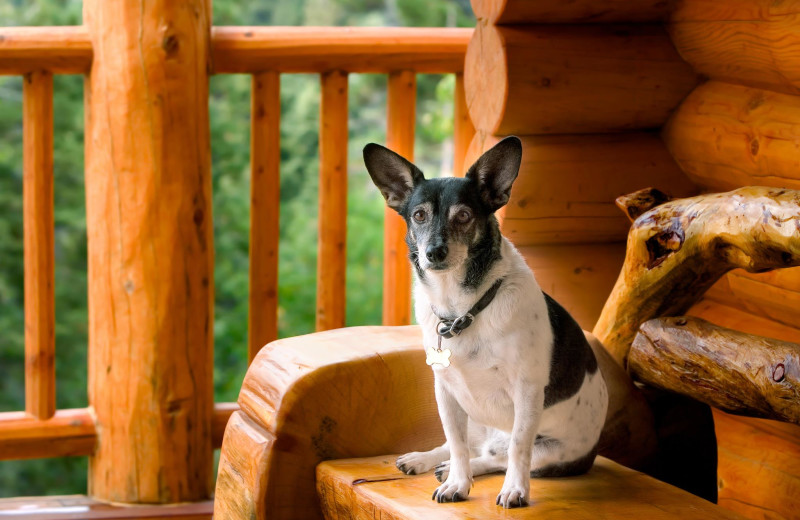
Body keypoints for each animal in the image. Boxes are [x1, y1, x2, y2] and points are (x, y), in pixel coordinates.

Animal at [366, 137, 608, 508]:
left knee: (499, 456)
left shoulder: (526, 392)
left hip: (550, 451)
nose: (434, 252)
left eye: (464, 216)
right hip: (472, 415)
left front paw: (514, 491)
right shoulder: (446, 392)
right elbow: (456, 442)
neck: (462, 310)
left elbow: (518, 448)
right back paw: (426, 460)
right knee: (464, 446)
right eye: (419, 215)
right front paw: (457, 482)